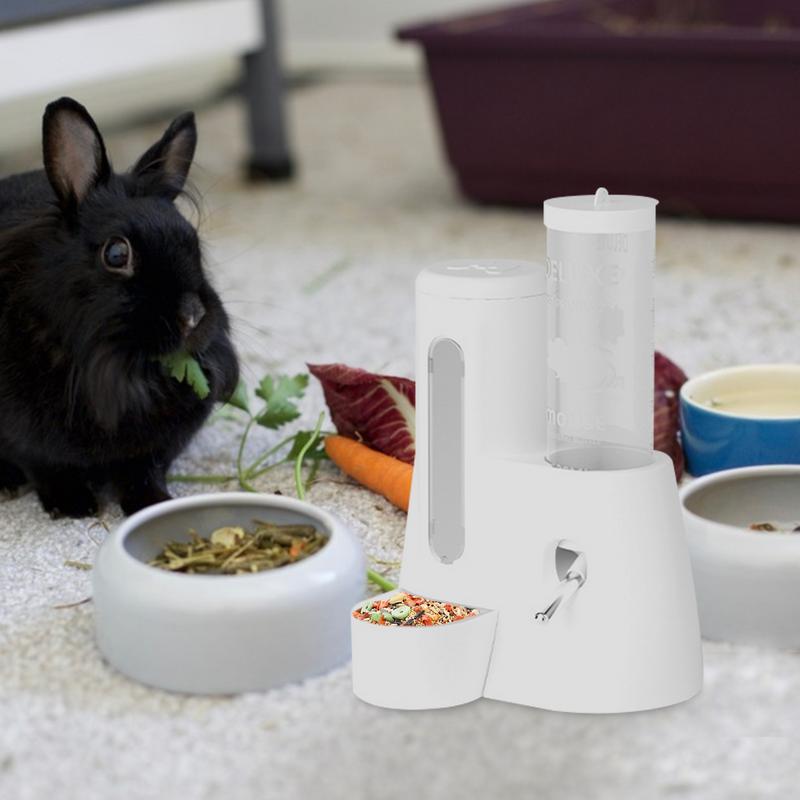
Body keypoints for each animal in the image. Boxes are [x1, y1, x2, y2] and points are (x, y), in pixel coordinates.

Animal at [0, 97, 239, 517]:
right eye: (116, 254)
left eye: (193, 244)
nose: (192, 315)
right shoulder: (27, 443)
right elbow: (47, 469)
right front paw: (74, 505)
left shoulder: (155, 449)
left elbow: (143, 472)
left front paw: (153, 504)